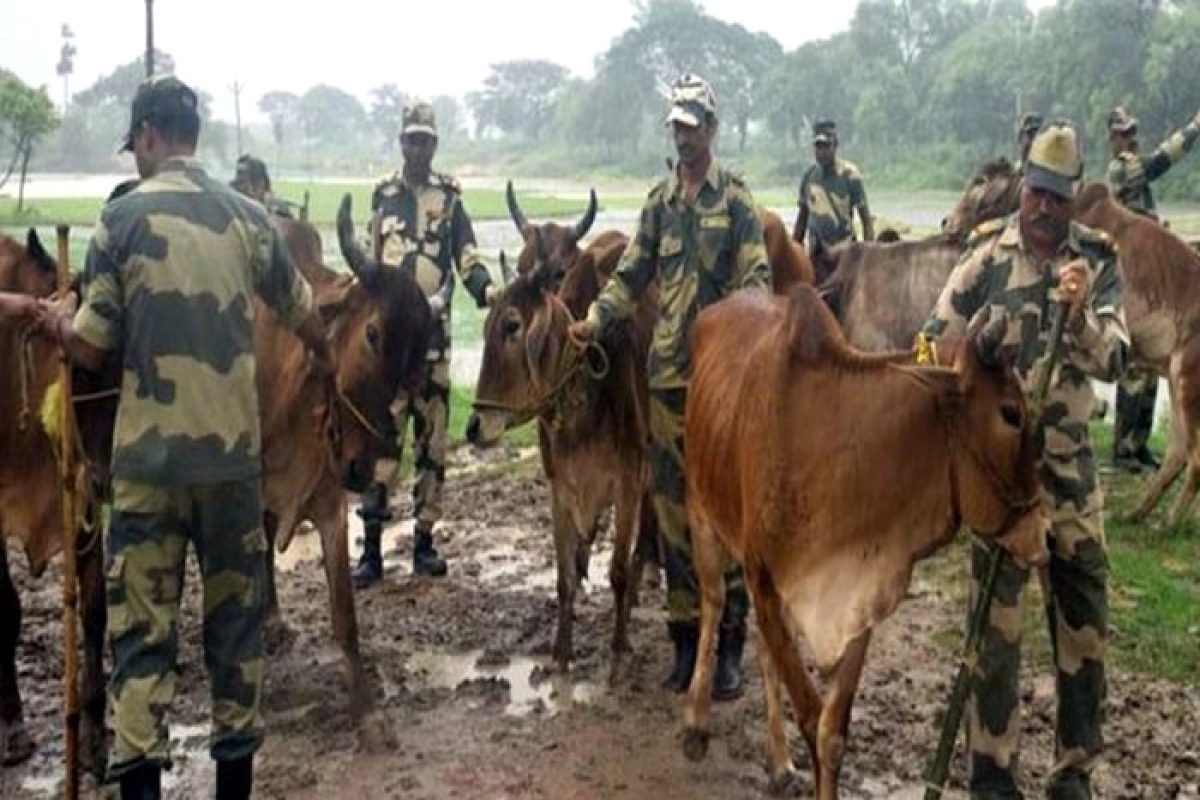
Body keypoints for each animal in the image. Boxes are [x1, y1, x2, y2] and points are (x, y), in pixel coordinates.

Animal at [681, 286, 1046, 796]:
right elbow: (810, 716)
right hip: (701, 511)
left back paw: (779, 761)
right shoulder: (764, 576)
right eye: (1011, 412)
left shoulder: (860, 597)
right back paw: (696, 720)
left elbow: (831, 733)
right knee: (713, 601)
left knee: (762, 646)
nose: (1041, 532)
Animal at [1075, 184, 1200, 527]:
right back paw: (1142, 515)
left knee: (1195, 458)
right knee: (1178, 452)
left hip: (1186, 381)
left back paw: (1166, 522)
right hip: (1176, 380)